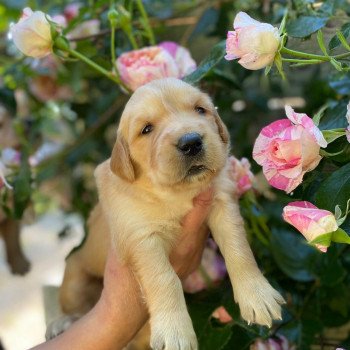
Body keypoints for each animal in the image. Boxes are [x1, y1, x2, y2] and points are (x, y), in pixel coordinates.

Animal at [51, 78, 284, 348]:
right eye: (146, 129)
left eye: (200, 110)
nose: (191, 142)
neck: (175, 192)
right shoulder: (141, 236)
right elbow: (164, 278)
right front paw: (176, 332)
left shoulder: (222, 200)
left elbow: (238, 249)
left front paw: (257, 295)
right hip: (74, 275)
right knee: (73, 308)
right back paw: (59, 323)